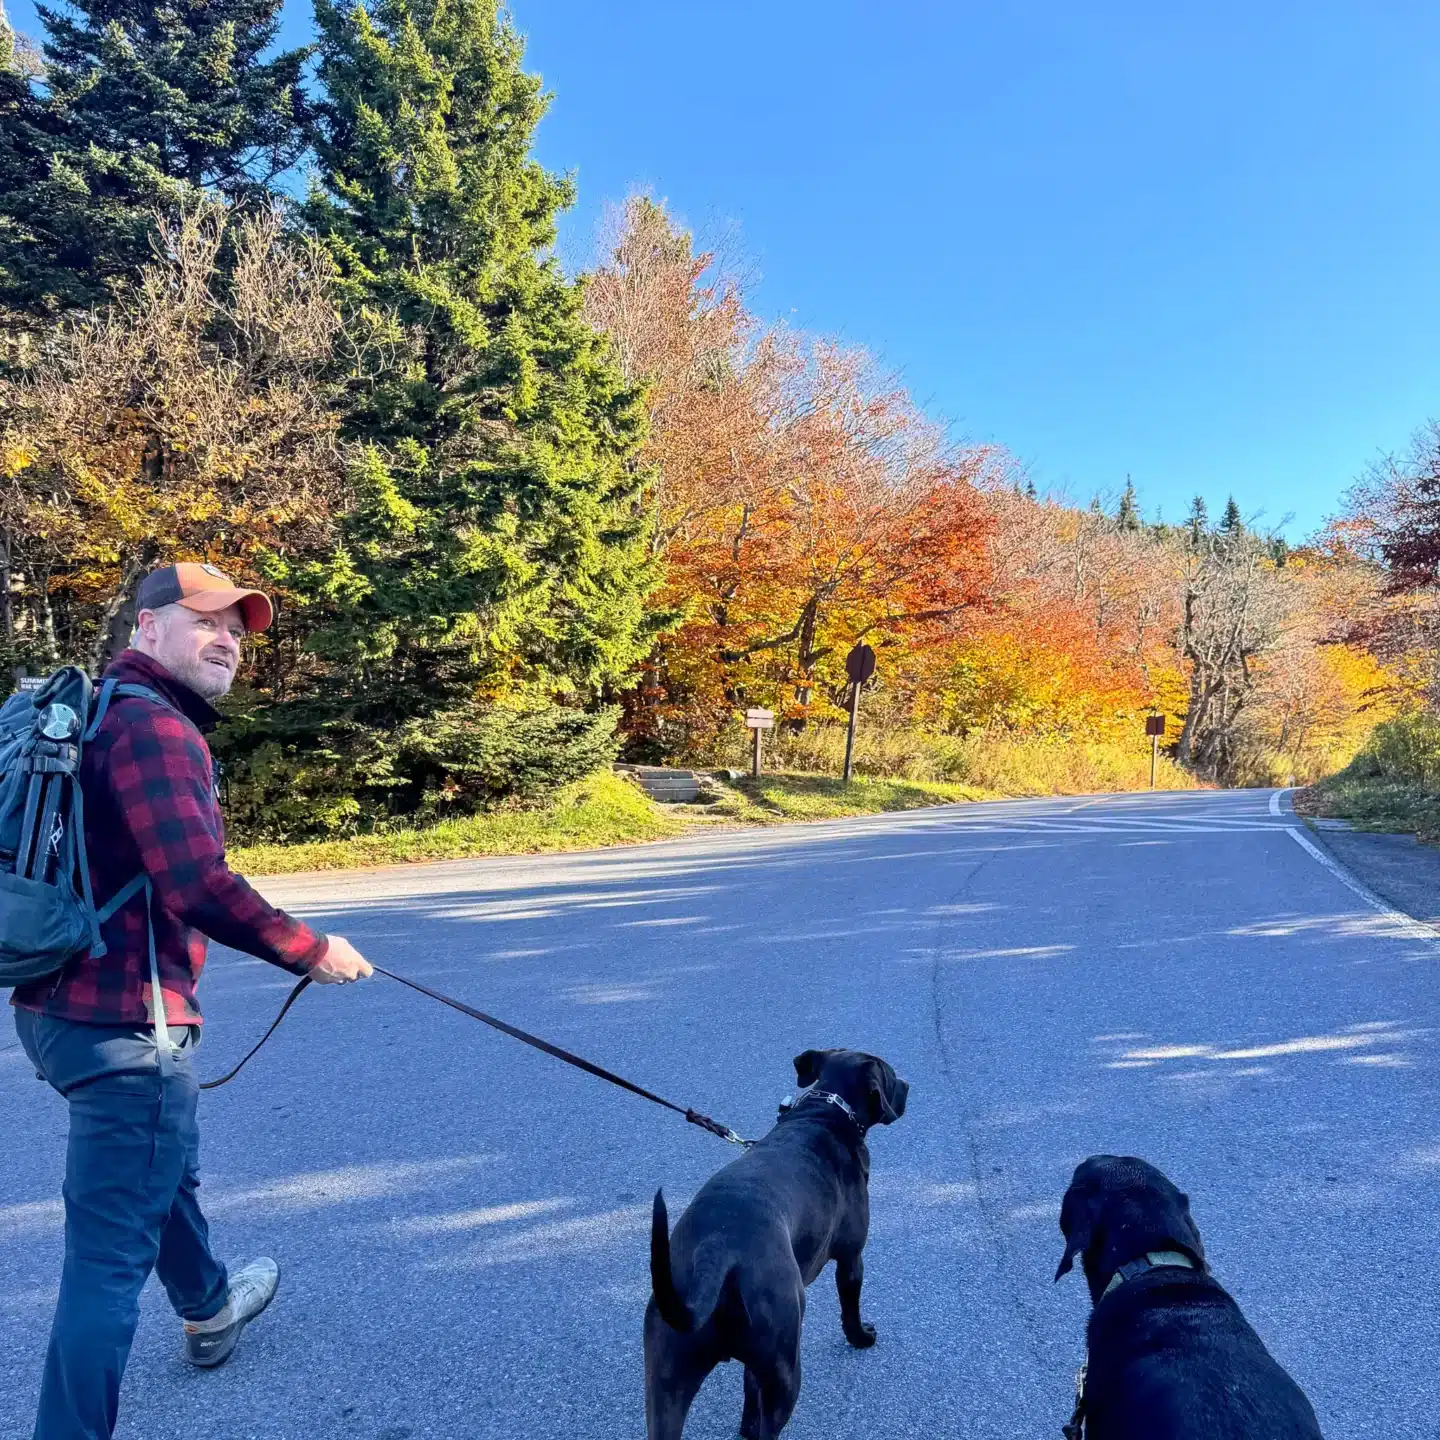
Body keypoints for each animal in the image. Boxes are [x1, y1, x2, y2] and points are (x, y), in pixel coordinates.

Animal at [645, 1048, 904, 1440]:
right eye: (891, 1074)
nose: (907, 1085)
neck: (824, 1111)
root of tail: (717, 1251)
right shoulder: (851, 1258)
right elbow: (850, 1307)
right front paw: (861, 1336)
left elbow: (749, 1388)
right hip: (785, 1368)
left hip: (665, 1381)